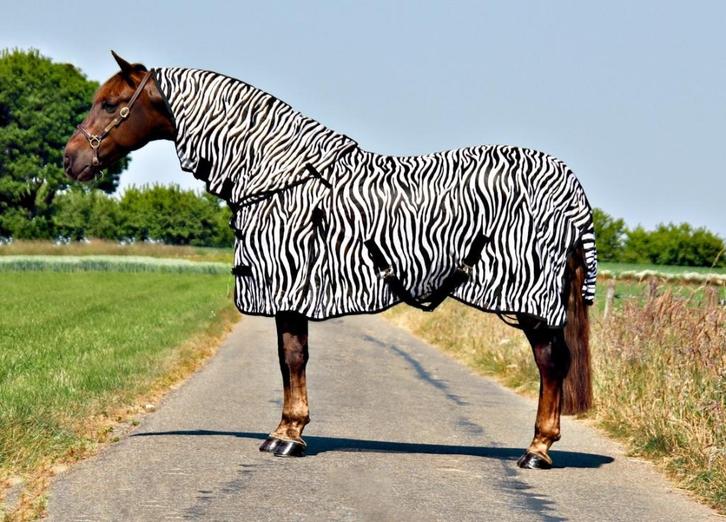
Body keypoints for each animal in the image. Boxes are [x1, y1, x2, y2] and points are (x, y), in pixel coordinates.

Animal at [64, 52, 597, 469]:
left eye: (109, 104)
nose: (71, 160)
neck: (276, 174)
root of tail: (570, 185)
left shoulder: (288, 289)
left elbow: (292, 358)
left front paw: (287, 436)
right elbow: (291, 358)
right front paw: (288, 431)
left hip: (532, 302)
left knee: (552, 364)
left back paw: (537, 450)